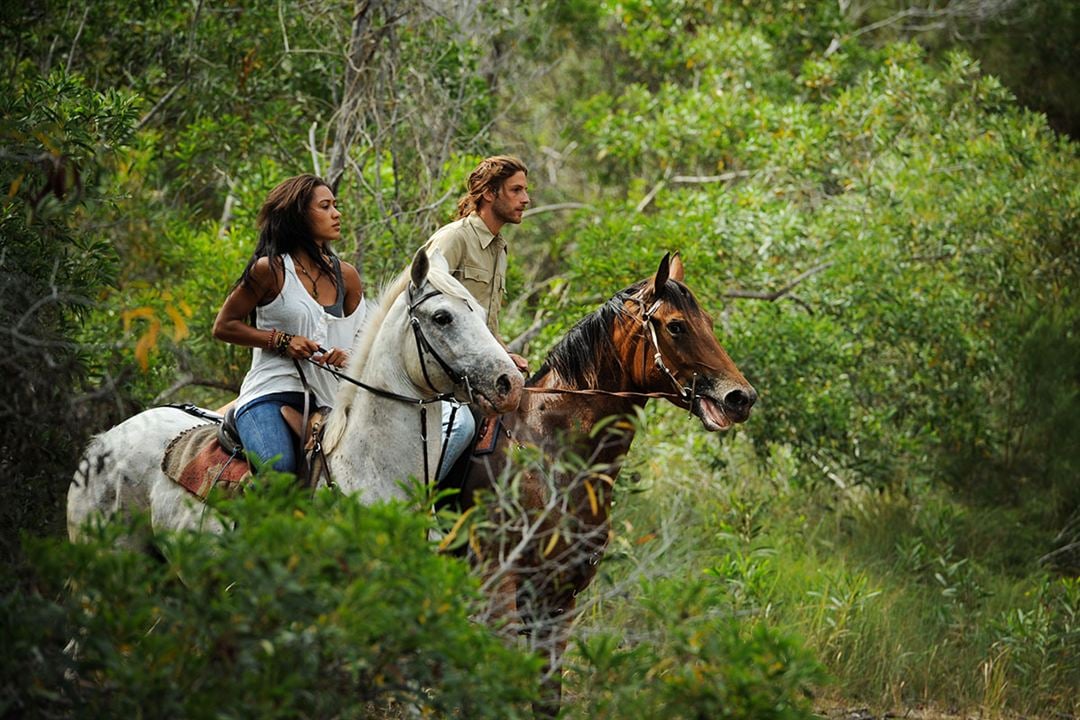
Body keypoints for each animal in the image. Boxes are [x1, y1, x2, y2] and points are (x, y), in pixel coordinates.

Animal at [451, 253, 756, 716]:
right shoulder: (499, 590)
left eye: (707, 322)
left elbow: (546, 699)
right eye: (675, 326)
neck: (551, 457)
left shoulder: (558, 599)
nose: (741, 398)